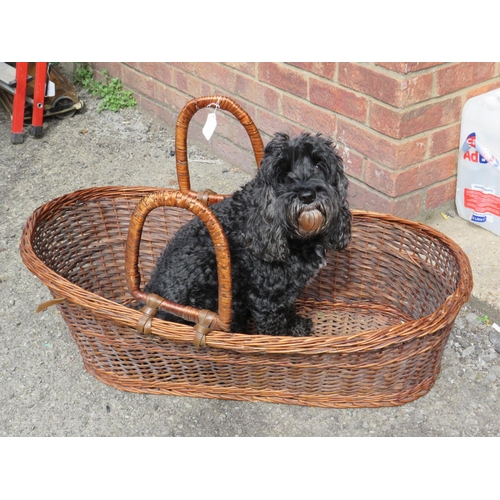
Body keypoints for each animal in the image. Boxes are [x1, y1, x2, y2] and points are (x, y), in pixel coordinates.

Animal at [143, 133, 350, 336]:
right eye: (283, 173)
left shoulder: (286, 292)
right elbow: (273, 329)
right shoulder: (267, 298)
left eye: (318, 165)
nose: (307, 195)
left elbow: (288, 309)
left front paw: (295, 325)